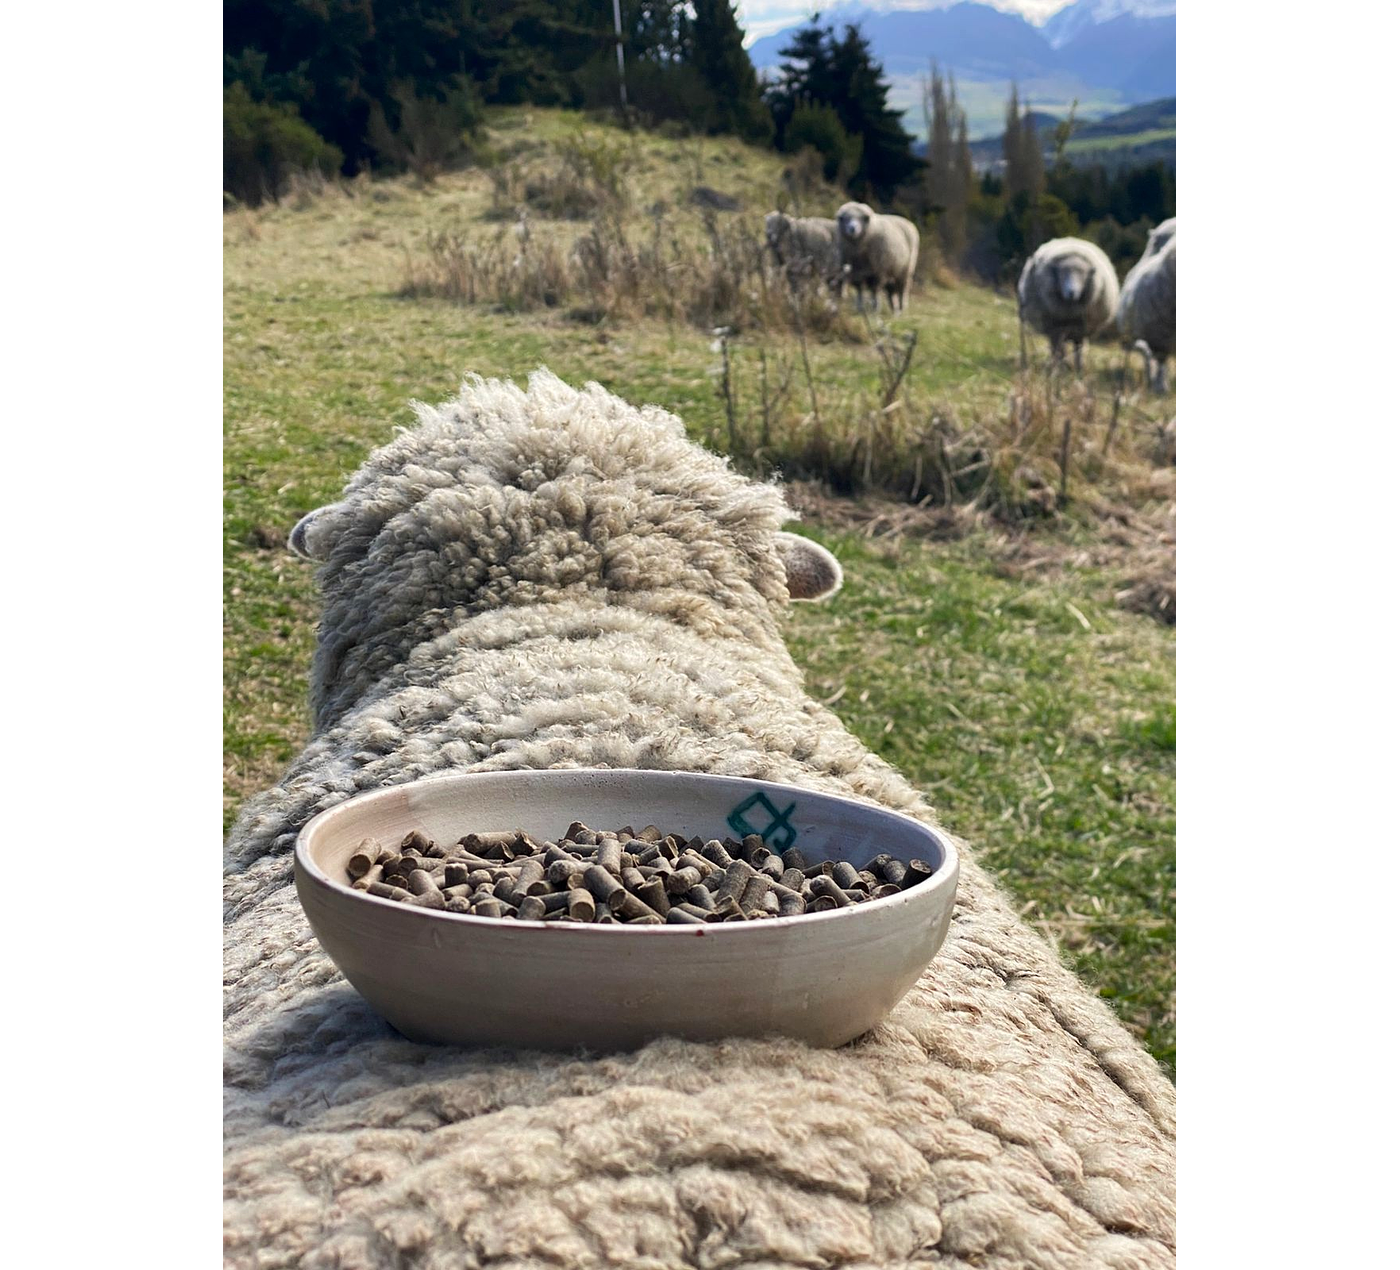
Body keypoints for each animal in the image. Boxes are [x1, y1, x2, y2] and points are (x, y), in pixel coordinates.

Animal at [1017, 236, 1121, 374]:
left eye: (1083, 275)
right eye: (1062, 274)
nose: (1072, 292)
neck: (1069, 310)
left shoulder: (1081, 329)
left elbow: (1078, 349)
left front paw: (1078, 369)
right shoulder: (1055, 328)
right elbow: (1057, 349)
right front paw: (1059, 367)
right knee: (1057, 347)